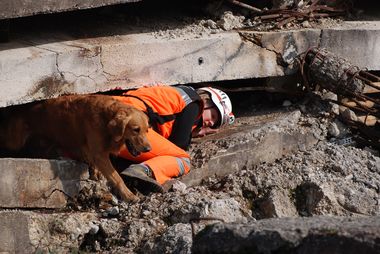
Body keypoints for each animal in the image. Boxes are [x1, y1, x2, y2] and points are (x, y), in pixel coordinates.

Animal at [0, 95, 151, 202]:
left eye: (146, 130)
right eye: (135, 129)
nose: (148, 148)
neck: (106, 118)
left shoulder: (94, 152)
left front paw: (96, 174)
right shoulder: (99, 154)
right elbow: (117, 177)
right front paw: (129, 195)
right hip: (15, 140)